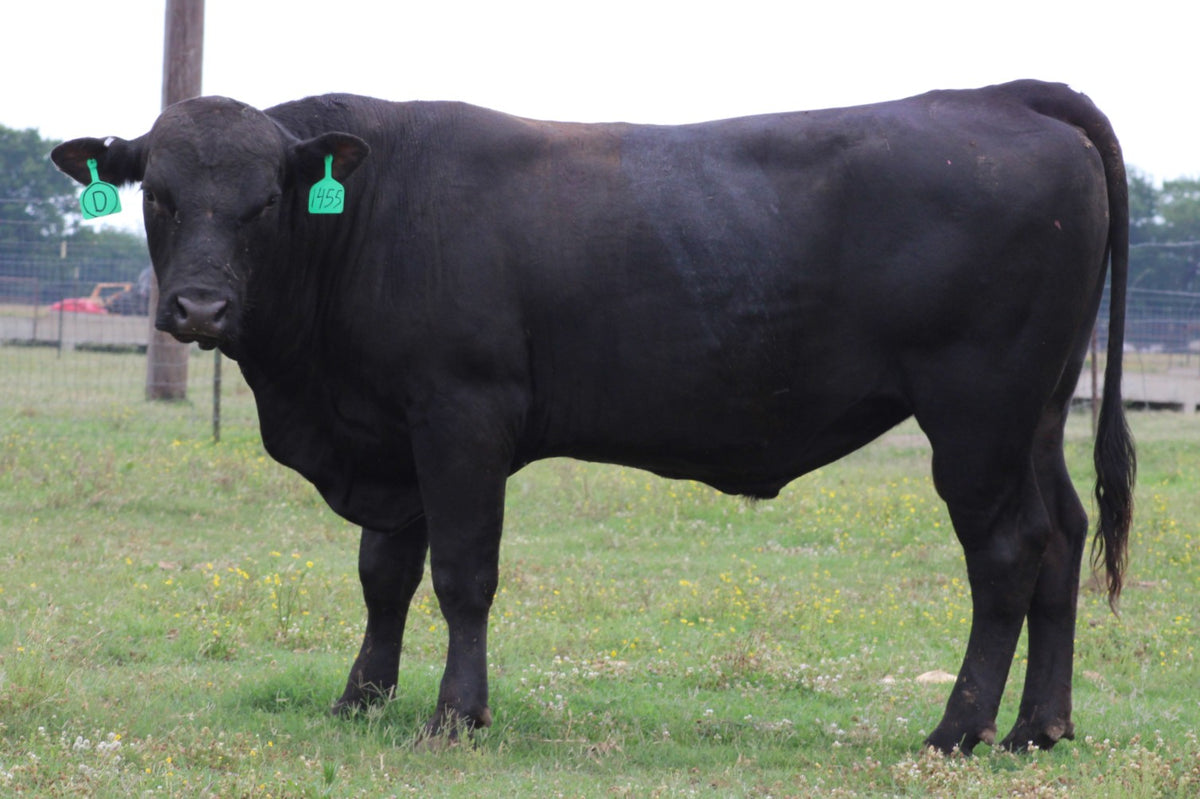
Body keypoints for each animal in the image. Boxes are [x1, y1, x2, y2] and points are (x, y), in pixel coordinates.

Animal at [52, 79, 1134, 754]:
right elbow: (382, 574)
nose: (199, 309)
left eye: (267, 199)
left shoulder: (461, 415)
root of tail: (1002, 95)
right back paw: (1040, 728)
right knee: (1063, 537)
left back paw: (957, 731)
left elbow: (462, 574)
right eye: (158, 194)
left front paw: (456, 715)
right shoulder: (392, 438)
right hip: (1036, 415)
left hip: (976, 415)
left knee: (1009, 550)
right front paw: (360, 698)